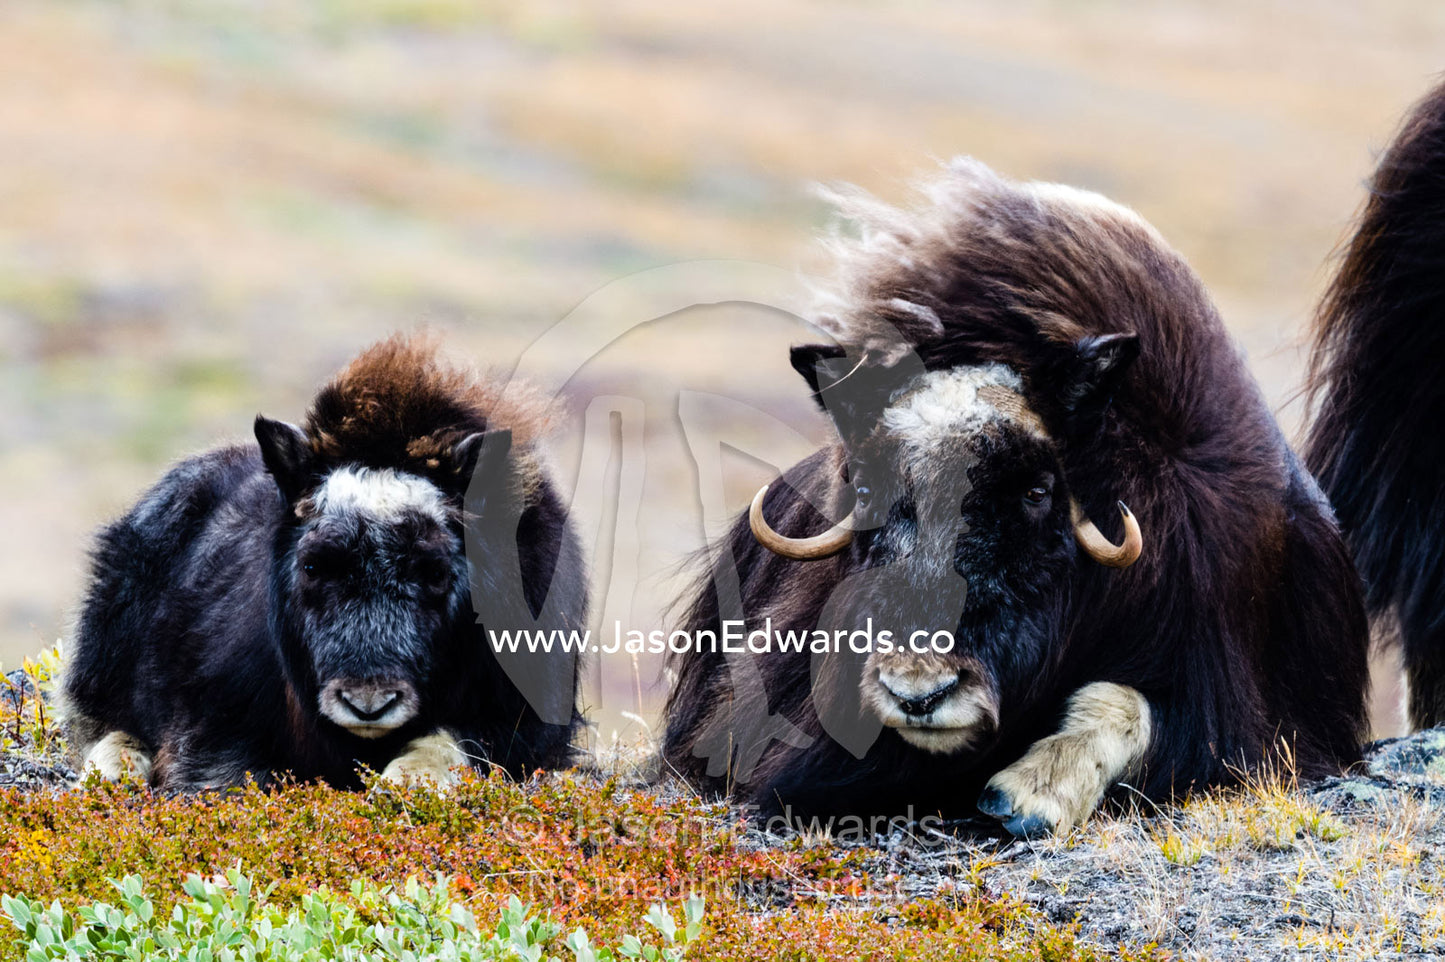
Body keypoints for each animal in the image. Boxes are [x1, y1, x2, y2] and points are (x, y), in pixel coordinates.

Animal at [62, 333, 586, 790]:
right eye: (313, 566)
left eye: (435, 572)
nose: (368, 703)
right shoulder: (215, 719)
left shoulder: (522, 714)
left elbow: (455, 742)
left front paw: (406, 782)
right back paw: (112, 770)